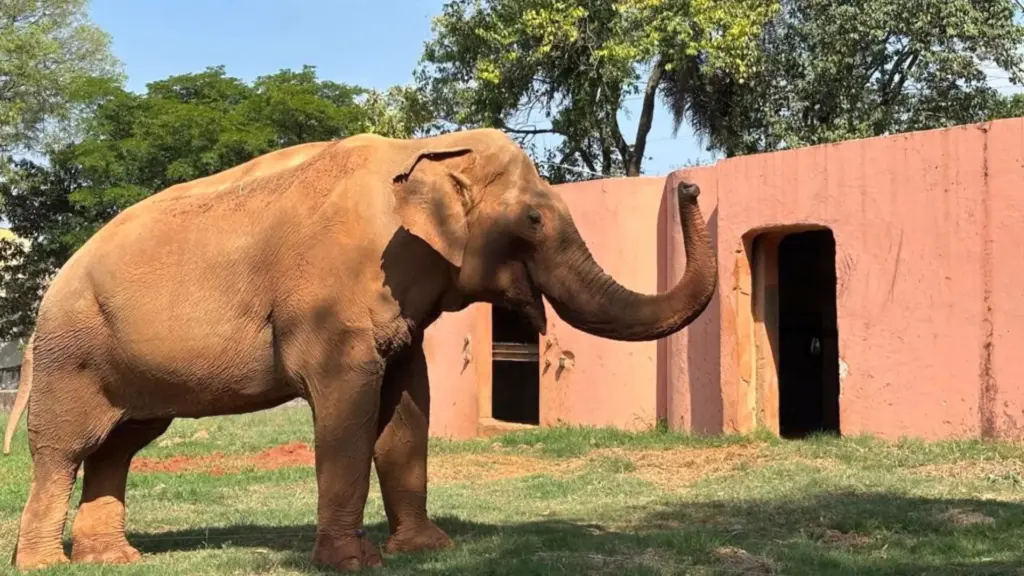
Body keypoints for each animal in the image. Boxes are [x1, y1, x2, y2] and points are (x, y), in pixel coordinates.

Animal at [2, 128, 717, 572]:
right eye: (534, 220)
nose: (690, 188)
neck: (424, 149)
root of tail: (46, 294)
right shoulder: (330, 303)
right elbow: (347, 404)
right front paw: (352, 561)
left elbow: (407, 404)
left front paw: (428, 549)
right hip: (72, 354)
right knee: (64, 449)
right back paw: (43, 564)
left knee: (121, 443)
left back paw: (113, 560)